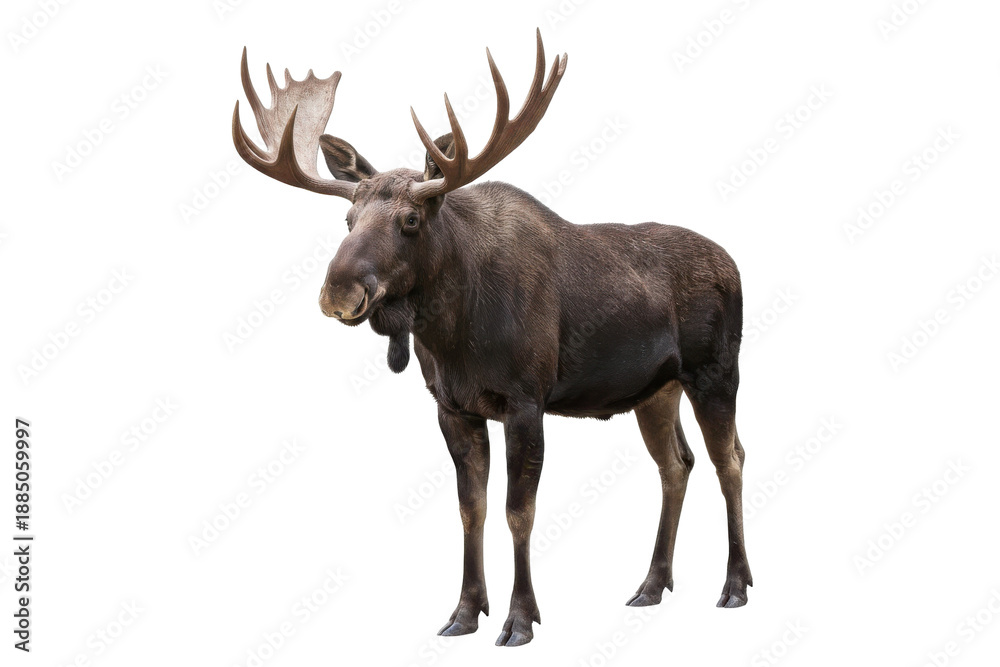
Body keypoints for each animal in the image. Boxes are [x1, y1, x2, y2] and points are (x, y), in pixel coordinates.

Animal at [232, 30, 752, 647]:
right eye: (348, 219)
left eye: (411, 220)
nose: (339, 291)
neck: (452, 331)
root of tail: (734, 264)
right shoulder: (453, 407)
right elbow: (471, 509)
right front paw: (463, 612)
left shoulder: (526, 402)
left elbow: (517, 512)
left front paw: (519, 618)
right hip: (655, 391)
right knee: (677, 464)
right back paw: (651, 584)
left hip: (715, 372)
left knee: (730, 459)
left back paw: (735, 585)